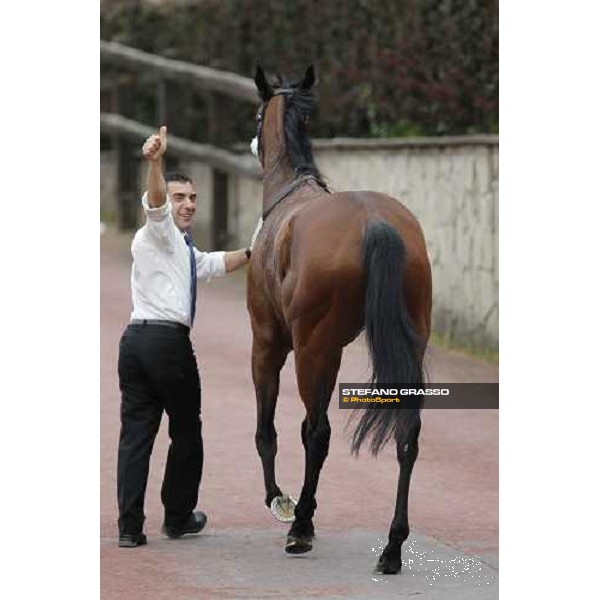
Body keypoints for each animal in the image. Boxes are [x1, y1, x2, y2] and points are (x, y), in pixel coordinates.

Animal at [247, 65, 432, 576]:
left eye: (256, 115)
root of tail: (375, 222)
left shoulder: (267, 344)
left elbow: (268, 430)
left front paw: (281, 501)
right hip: (408, 346)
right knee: (407, 434)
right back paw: (392, 548)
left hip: (315, 349)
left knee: (317, 433)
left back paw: (301, 527)